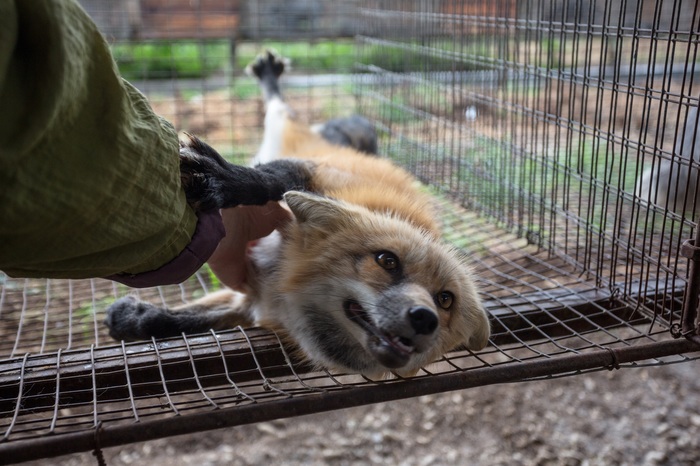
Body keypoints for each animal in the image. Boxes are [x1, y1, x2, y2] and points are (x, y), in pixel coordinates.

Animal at [106, 52, 490, 378]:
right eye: (387, 261)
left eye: (445, 300)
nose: (425, 319)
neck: (286, 285)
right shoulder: (316, 174)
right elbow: (266, 183)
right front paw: (222, 179)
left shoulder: (252, 298)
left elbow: (196, 319)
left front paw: (140, 318)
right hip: (288, 128)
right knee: (278, 104)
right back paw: (268, 76)